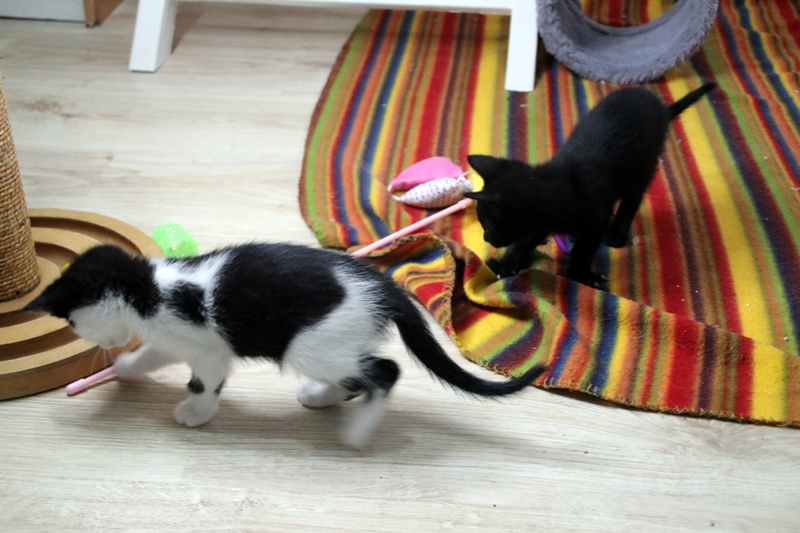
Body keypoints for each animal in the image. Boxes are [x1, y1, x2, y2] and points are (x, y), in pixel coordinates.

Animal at [24, 243, 546, 447]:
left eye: (71, 320)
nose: (82, 336)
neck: (151, 291)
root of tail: (386, 288)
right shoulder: (172, 339)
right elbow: (152, 355)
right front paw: (126, 369)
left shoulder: (208, 348)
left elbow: (204, 382)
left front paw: (195, 413)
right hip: (330, 345)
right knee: (358, 376)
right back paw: (321, 397)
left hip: (311, 343)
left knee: (385, 372)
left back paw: (356, 432)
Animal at [464, 82, 717, 288]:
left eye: (487, 226)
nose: (486, 238)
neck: (557, 183)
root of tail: (660, 106)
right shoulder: (542, 221)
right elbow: (524, 242)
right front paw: (505, 264)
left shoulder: (596, 219)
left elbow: (584, 251)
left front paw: (579, 275)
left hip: (644, 167)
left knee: (631, 200)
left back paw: (616, 232)